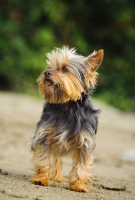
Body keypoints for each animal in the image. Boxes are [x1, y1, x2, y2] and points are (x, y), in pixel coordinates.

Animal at [30, 46, 103, 192]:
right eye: (49, 66)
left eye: (64, 69)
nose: (46, 73)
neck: (66, 106)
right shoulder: (44, 136)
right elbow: (43, 159)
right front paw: (41, 179)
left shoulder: (85, 142)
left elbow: (81, 165)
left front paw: (78, 185)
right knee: (56, 158)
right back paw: (56, 176)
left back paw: (87, 179)